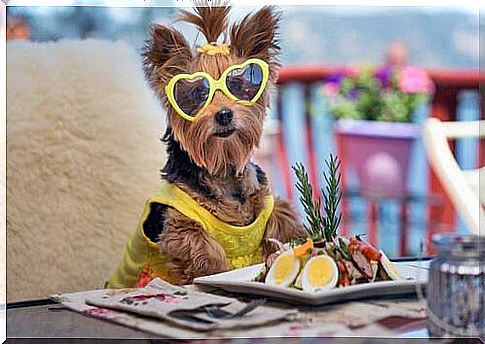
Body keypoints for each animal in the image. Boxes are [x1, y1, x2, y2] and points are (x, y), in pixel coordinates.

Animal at [108, 2, 304, 288]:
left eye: (240, 86)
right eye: (197, 94)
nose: (223, 114)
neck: (222, 170)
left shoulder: (270, 208)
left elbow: (284, 223)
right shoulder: (178, 224)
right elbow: (200, 250)